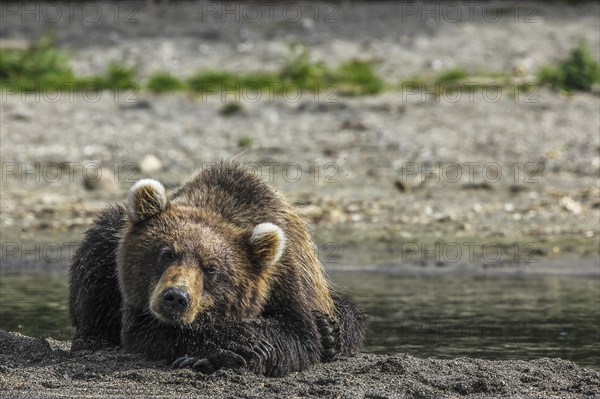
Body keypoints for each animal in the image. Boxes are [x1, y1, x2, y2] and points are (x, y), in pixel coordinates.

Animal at [68, 161, 364, 376]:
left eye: (211, 268)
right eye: (166, 253)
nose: (176, 297)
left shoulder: (286, 277)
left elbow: (298, 335)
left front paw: (227, 353)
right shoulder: (139, 306)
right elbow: (148, 331)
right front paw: (235, 345)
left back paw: (330, 330)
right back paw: (92, 339)